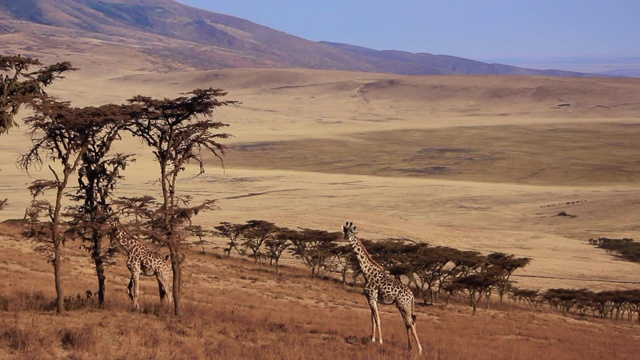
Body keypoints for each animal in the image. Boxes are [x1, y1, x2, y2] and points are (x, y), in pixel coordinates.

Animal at [342, 221, 422, 352]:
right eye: (344, 231)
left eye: (349, 232)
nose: (344, 238)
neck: (367, 272)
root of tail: (412, 296)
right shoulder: (371, 299)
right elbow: (373, 319)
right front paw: (373, 339)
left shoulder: (372, 298)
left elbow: (378, 319)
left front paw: (380, 341)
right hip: (402, 306)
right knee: (407, 324)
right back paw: (409, 347)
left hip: (404, 306)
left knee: (412, 323)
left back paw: (419, 349)